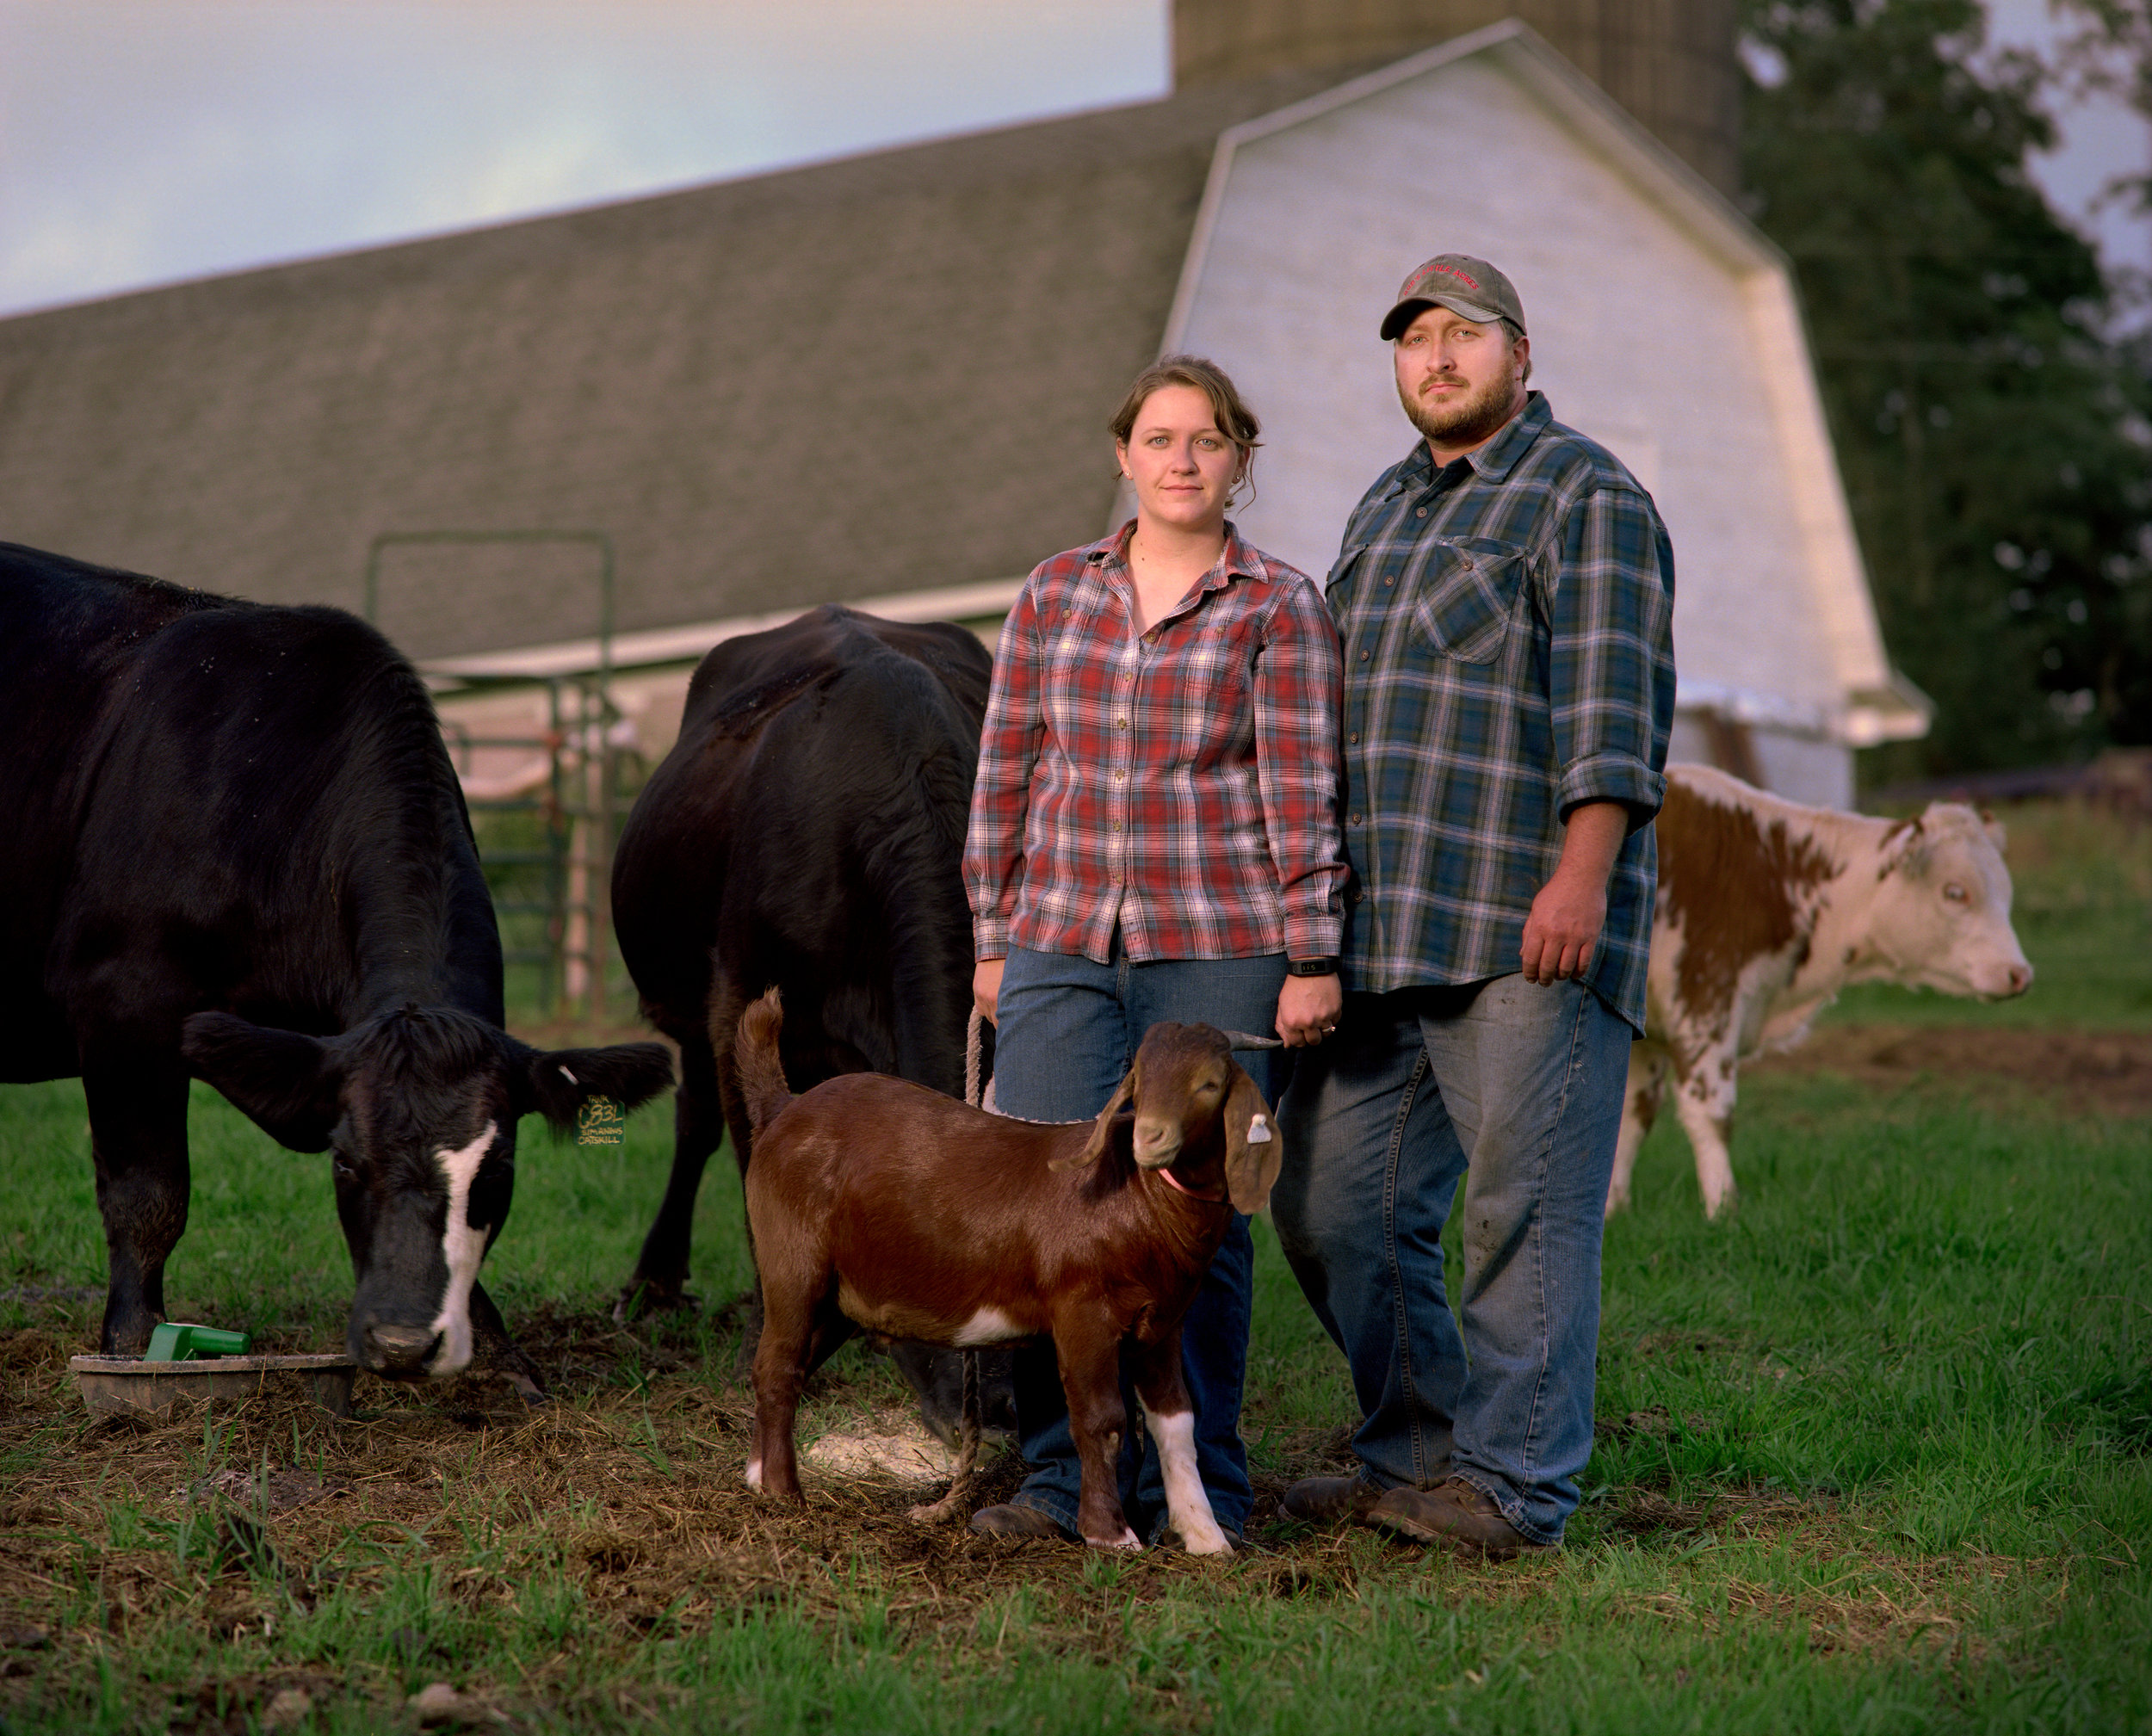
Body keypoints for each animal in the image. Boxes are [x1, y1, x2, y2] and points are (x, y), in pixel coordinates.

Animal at [0, 541, 671, 1385]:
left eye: (498, 1171)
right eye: (347, 1165)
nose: (405, 1342)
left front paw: (496, 1349)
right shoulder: (122, 999)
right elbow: (148, 1195)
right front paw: (131, 1339)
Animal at [740, 985, 1274, 1557]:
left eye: (1210, 1084)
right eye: (1141, 1083)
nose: (1149, 1139)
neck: (1138, 1199)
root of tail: (783, 1108)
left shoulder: (1163, 1322)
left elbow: (1176, 1421)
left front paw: (1205, 1536)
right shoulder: (1083, 1311)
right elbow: (1102, 1419)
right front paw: (1111, 1536)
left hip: (842, 1297)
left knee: (789, 1364)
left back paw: (758, 1477)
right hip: (792, 1262)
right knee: (778, 1364)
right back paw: (784, 1494)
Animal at [1618, 761, 2031, 1221]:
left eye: (2006, 893)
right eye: (1955, 892)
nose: (2019, 973)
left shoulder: (1642, 1030)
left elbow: (1631, 1117)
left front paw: (1613, 1210)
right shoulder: (1707, 1000)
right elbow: (1712, 1114)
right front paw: (1724, 1211)